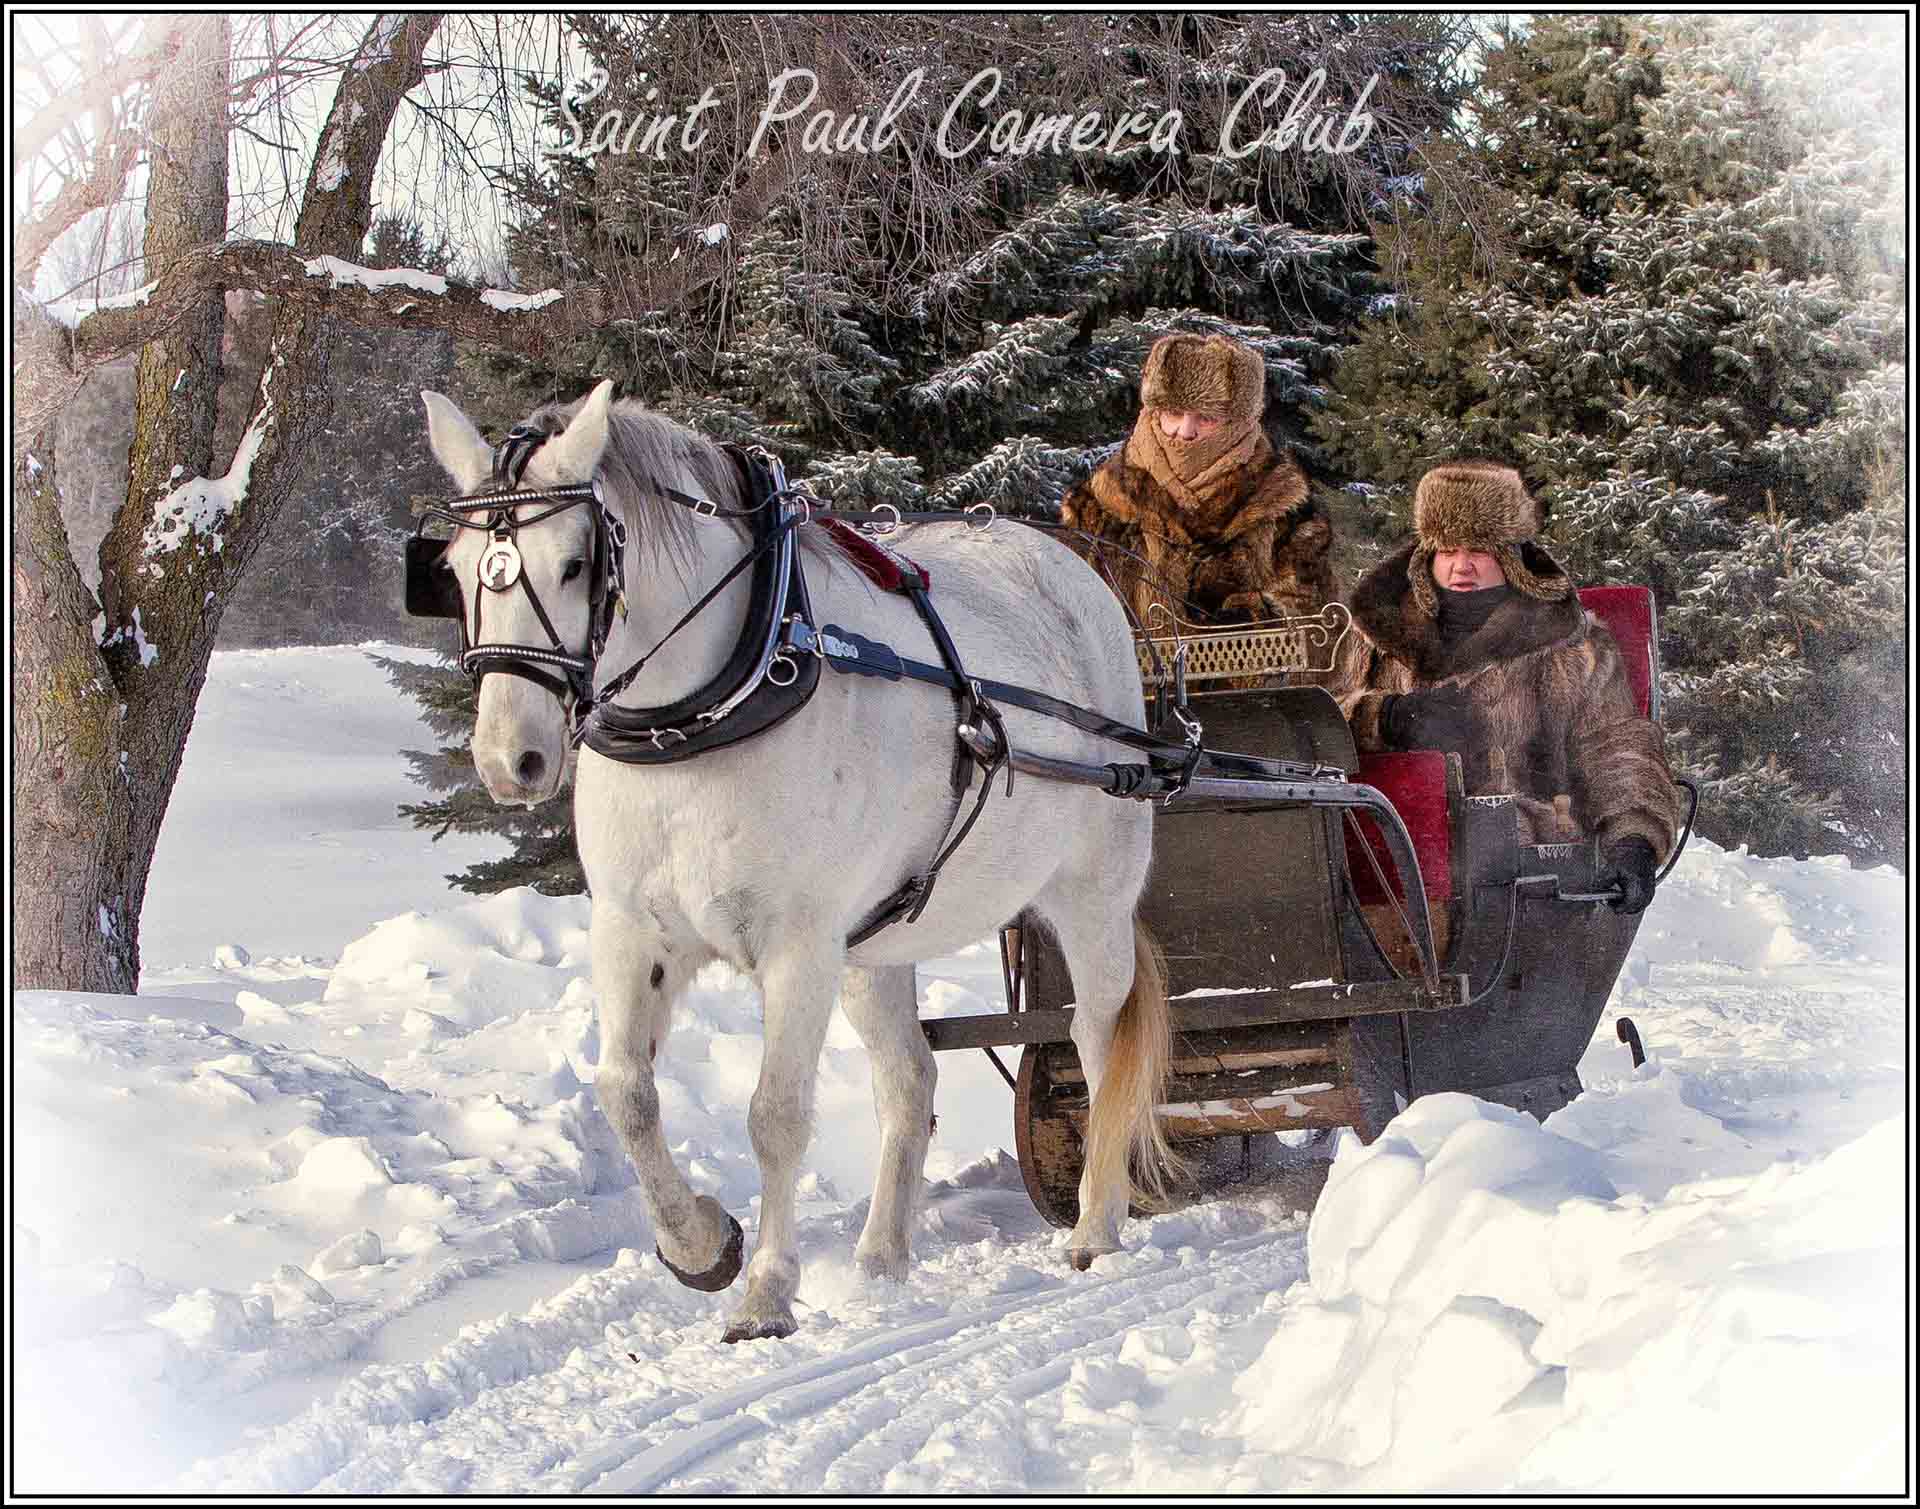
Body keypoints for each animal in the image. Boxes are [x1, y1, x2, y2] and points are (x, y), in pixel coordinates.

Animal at [418, 380, 1177, 1342]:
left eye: (575, 565)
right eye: (453, 568)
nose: (507, 759)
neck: (713, 709)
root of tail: (1078, 574)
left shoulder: (797, 943)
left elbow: (776, 1115)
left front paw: (766, 1293)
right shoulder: (634, 931)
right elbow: (626, 1092)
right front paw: (702, 1244)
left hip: (1090, 898)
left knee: (1097, 1045)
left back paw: (1094, 1224)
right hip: (876, 943)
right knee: (909, 1080)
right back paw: (881, 1258)